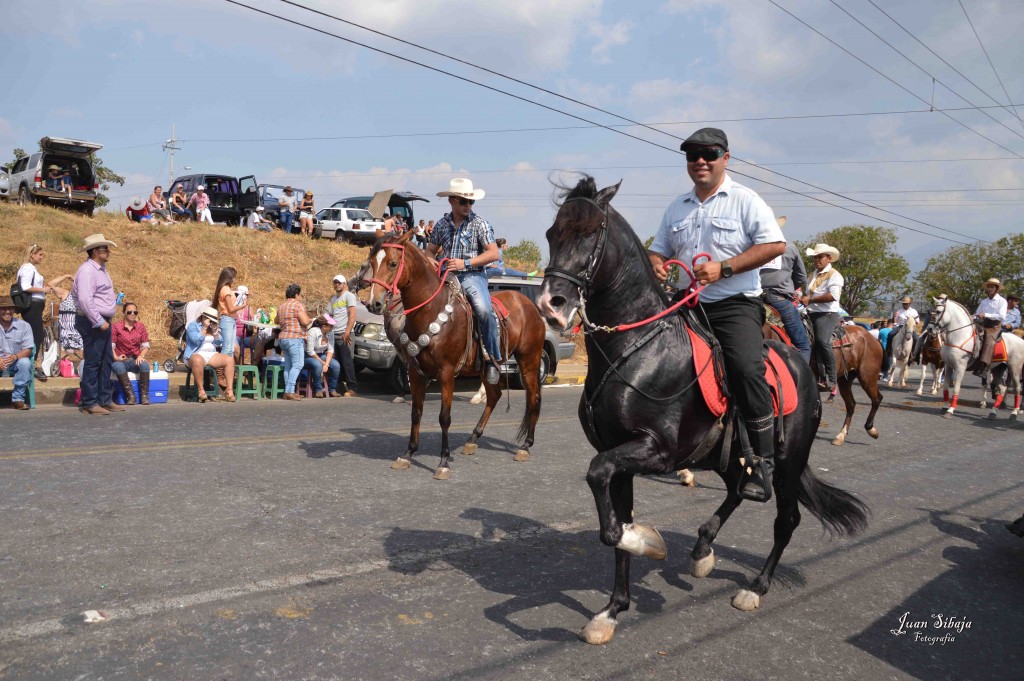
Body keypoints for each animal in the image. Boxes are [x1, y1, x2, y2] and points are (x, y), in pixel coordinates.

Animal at [364, 231, 548, 475]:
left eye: (393, 263)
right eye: (372, 263)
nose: (373, 303)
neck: (429, 310)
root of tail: (529, 305)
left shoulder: (446, 373)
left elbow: (444, 417)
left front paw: (443, 461)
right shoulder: (415, 372)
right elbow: (416, 412)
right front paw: (408, 453)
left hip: (529, 361)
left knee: (533, 397)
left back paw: (525, 446)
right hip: (488, 368)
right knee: (494, 396)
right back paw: (473, 439)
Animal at [532, 175, 868, 643]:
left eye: (592, 232)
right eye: (552, 234)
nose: (551, 304)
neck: (640, 350)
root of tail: (804, 368)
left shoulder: (656, 451)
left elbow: (603, 492)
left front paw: (646, 541)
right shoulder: (621, 456)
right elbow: (614, 522)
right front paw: (613, 609)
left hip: (787, 461)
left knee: (786, 519)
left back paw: (755, 588)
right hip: (728, 455)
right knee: (737, 491)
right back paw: (703, 549)